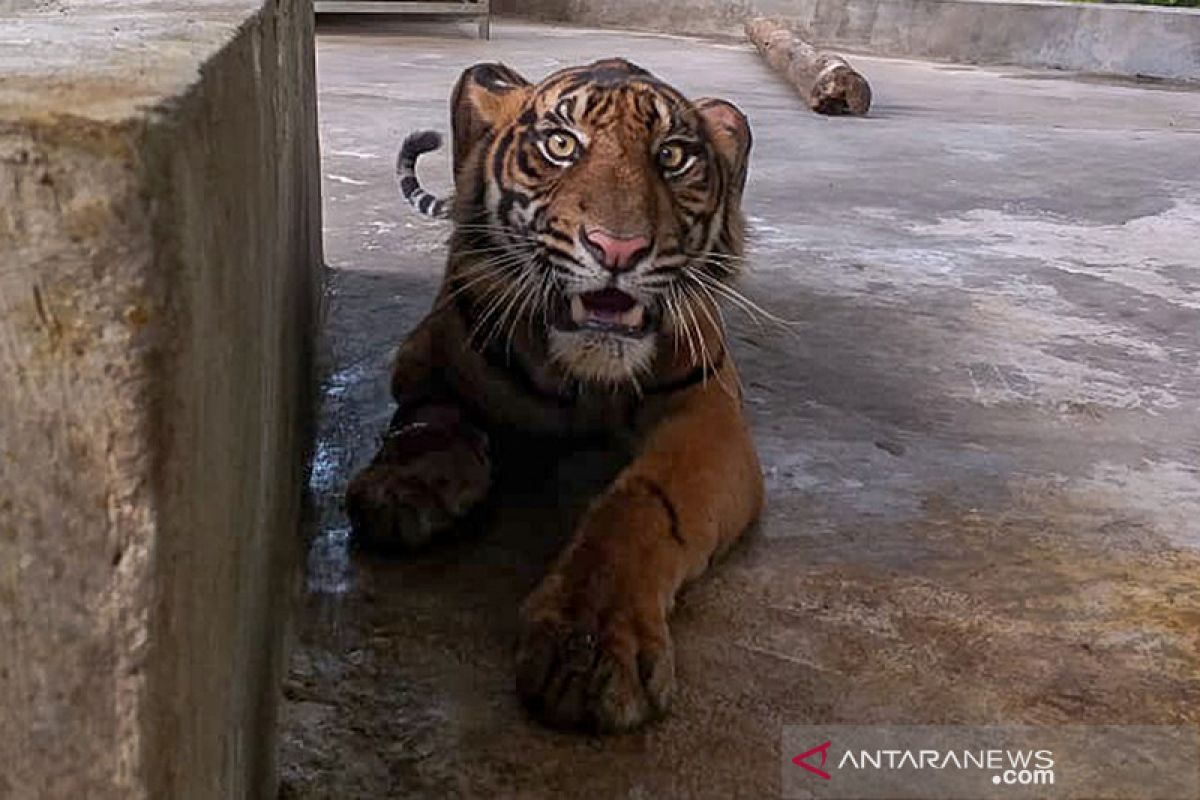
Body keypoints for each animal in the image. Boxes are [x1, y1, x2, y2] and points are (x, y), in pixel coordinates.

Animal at [345, 54, 758, 734]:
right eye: (561, 146)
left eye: (672, 157)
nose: (618, 249)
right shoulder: (426, 357)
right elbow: (433, 419)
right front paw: (405, 487)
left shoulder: (706, 411)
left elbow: (643, 504)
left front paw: (588, 646)